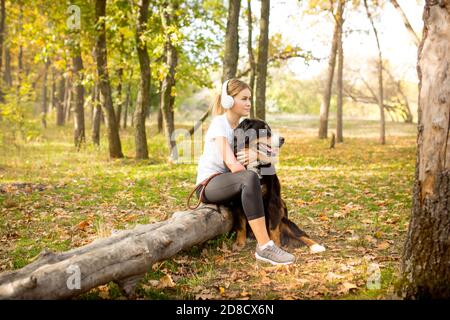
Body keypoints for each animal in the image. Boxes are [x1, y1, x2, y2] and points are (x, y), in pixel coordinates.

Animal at [232, 119, 324, 254]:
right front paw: (239, 243)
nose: (282, 139)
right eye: (264, 130)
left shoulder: (273, 200)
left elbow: (273, 227)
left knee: (301, 234)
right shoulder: (237, 201)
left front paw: (275, 244)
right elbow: (240, 224)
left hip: (285, 222)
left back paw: (316, 246)